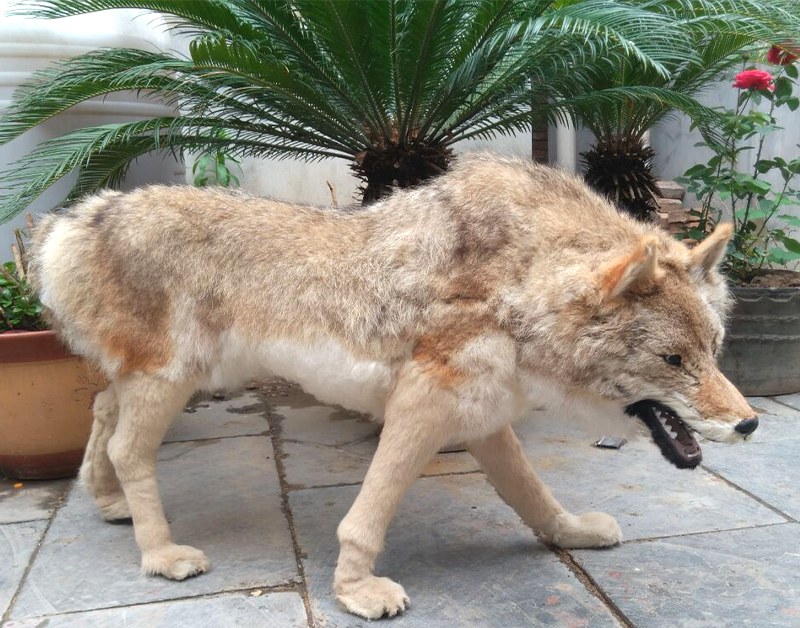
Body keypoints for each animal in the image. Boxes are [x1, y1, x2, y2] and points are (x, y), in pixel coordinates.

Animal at [29, 153, 757, 619]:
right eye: (672, 360)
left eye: (714, 351)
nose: (749, 424)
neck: (519, 289)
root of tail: (82, 217)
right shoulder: (422, 406)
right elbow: (368, 515)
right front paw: (356, 591)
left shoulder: (484, 418)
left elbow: (534, 497)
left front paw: (571, 532)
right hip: (173, 382)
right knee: (127, 447)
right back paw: (159, 554)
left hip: (169, 381)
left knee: (102, 412)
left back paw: (110, 504)